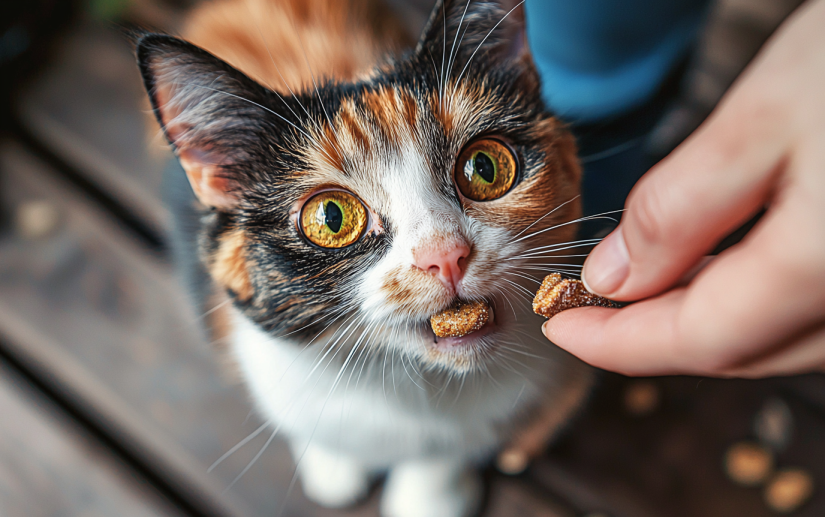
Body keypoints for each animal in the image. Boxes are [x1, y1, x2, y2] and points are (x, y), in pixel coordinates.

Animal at [138, 1, 592, 516]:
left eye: (485, 167)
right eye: (331, 218)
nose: (445, 255)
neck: (412, 389)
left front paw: (429, 497)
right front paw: (332, 466)